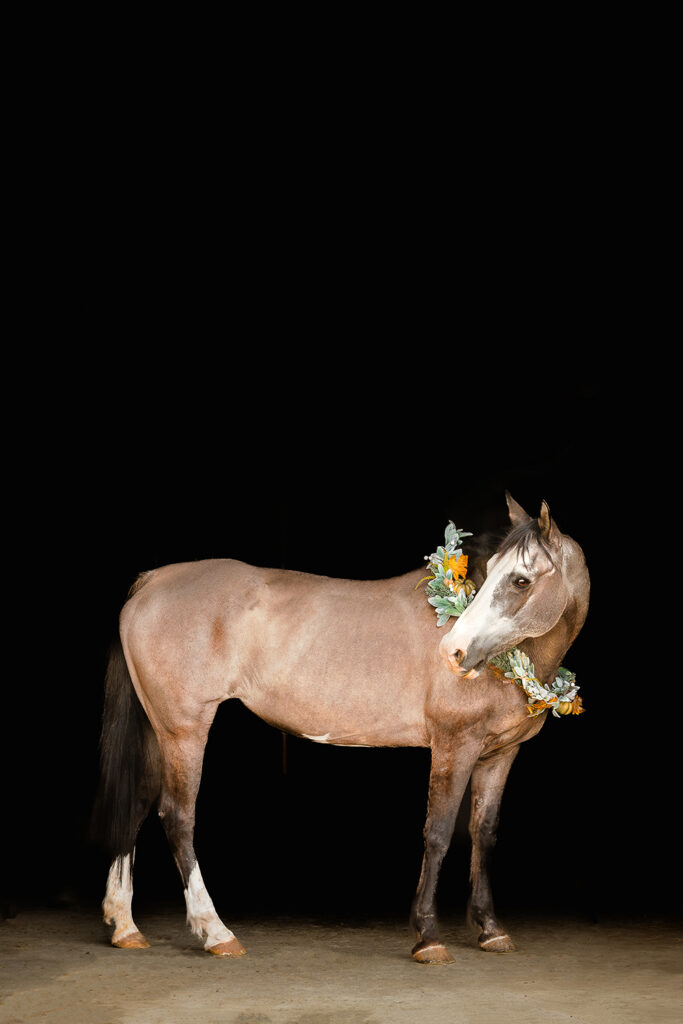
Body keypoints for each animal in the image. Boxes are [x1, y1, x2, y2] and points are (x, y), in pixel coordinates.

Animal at [93, 492, 589, 963]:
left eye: (520, 580)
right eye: (491, 578)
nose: (454, 652)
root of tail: (153, 580)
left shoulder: (499, 754)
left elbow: (484, 834)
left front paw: (490, 930)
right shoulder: (455, 745)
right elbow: (440, 831)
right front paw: (427, 936)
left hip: (159, 729)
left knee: (137, 801)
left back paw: (125, 926)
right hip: (184, 729)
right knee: (177, 816)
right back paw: (215, 931)